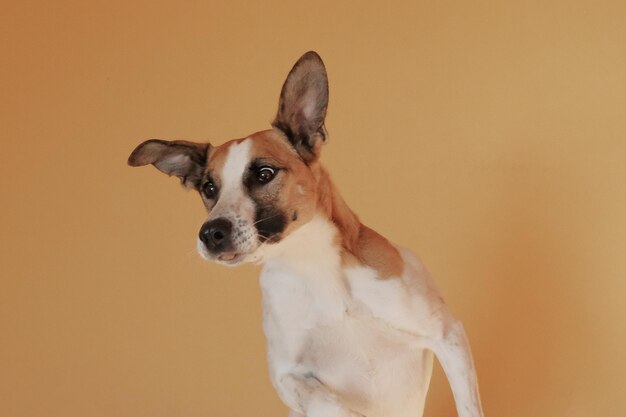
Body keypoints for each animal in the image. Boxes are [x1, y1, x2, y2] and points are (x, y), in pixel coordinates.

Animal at [128, 51, 482, 416]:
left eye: (264, 173)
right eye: (208, 188)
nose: (210, 233)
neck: (311, 263)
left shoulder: (448, 335)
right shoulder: (287, 376)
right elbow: (324, 399)